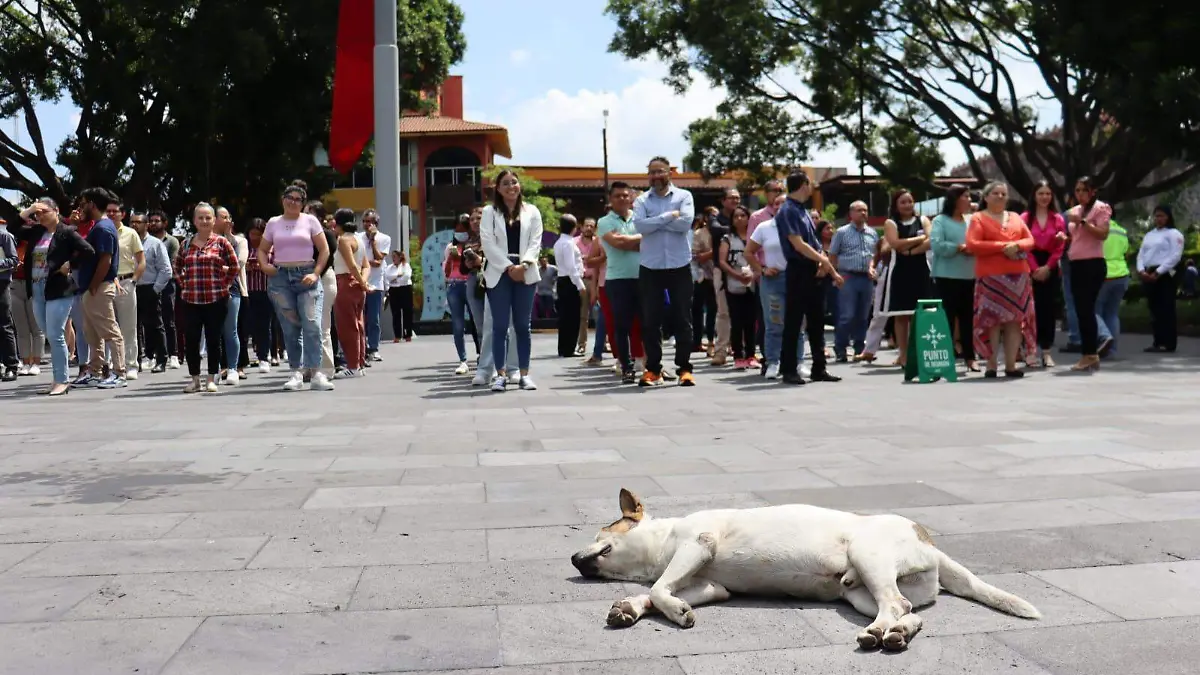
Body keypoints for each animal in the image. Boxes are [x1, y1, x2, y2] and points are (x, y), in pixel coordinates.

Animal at [566, 485, 1036, 648]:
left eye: (601, 532)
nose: (571, 558)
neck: (664, 543)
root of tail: (930, 544)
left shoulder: (699, 545)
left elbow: (660, 588)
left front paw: (670, 610)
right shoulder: (708, 585)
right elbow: (658, 591)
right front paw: (630, 607)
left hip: (868, 556)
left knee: (896, 604)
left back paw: (879, 636)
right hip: (859, 592)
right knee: (905, 610)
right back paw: (895, 634)